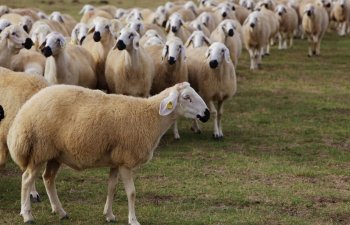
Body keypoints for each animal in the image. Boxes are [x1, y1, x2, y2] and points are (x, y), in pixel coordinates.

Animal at [8, 81, 209, 224]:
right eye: (187, 97)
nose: (206, 113)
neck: (150, 117)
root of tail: (24, 111)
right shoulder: (126, 160)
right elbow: (131, 192)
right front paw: (133, 220)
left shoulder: (116, 160)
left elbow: (111, 188)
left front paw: (109, 215)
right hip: (39, 149)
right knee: (27, 179)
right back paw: (28, 216)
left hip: (55, 154)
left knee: (48, 178)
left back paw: (61, 212)